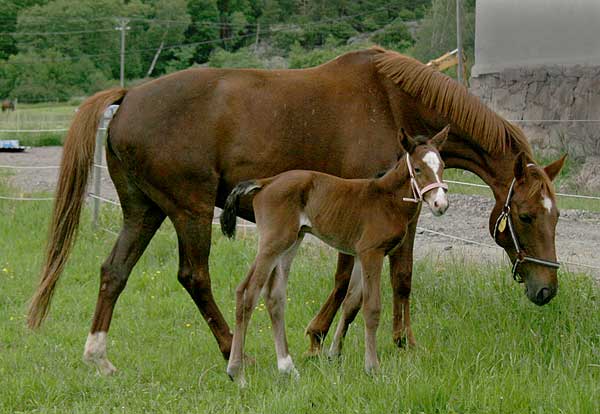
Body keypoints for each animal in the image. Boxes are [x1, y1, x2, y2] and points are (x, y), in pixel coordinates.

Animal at [221, 127, 450, 384]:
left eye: (442, 166)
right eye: (418, 169)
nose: (440, 204)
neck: (387, 199)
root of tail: (266, 182)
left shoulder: (360, 255)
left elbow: (351, 302)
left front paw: (334, 353)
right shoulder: (372, 253)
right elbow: (371, 308)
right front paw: (372, 367)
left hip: (290, 243)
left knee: (274, 295)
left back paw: (287, 367)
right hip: (273, 243)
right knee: (248, 292)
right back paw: (237, 373)